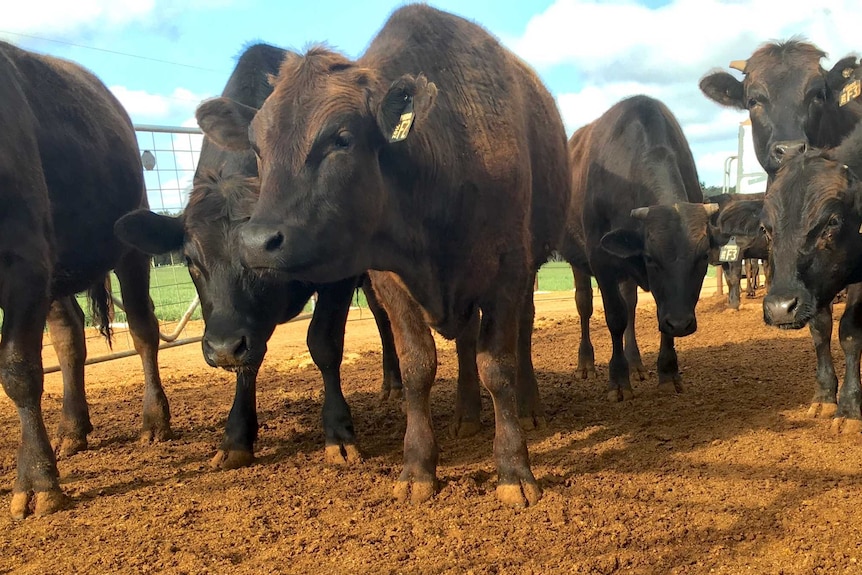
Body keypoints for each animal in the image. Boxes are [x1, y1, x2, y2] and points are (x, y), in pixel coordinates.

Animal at [0, 40, 168, 516]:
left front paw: (38, 483)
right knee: (69, 335)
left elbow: (18, 371)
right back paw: (71, 430)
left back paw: (154, 421)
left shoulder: (24, 263)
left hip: (131, 242)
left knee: (143, 328)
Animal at [116, 44, 410, 468]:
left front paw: (338, 432)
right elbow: (249, 362)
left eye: (262, 253)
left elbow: (324, 343)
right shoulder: (241, 325)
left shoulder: (337, 279)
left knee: (383, 315)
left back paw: (395, 384)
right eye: (190, 261)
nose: (222, 348)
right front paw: (236, 435)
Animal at [197, 5, 572, 508]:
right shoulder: (390, 279)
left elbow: (499, 367)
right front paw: (417, 468)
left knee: (523, 334)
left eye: (341, 139)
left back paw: (528, 407)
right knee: (464, 341)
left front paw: (514, 469)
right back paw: (466, 415)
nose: (256, 240)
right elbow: (418, 367)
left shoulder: (507, 272)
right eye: (257, 147)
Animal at [568, 95, 724, 400]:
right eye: (651, 258)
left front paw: (668, 372)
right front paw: (618, 380)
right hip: (578, 261)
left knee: (630, 303)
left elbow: (657, 315)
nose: (682, 324)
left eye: (702, 257)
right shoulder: (602, 261)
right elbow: (614, 317)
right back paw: (586, 363)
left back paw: (636, 363)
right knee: (584, 304)